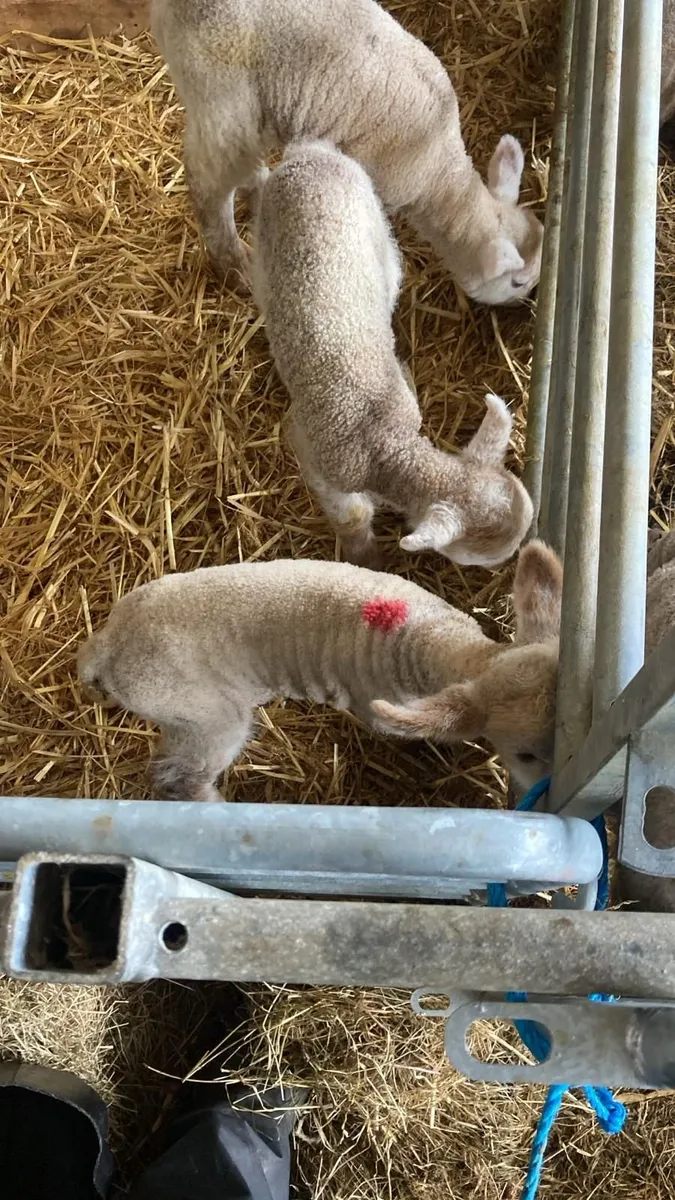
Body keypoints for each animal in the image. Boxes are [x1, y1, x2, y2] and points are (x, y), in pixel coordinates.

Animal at [77, 540, 563, 803]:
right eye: (525, 755)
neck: (426, 641)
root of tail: (108, 645)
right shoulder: (376, 706)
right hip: (200, 714)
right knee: (181, 775)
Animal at [150, 0, 543, 305]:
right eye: (517, 281)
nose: (527, 300)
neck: (439, 173)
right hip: (220, 94)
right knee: (207, 183)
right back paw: (235, 264)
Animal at [251, 141, 533, 568]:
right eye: (478, 561)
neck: (383, 445)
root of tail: (310, 154)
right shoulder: (313, 452)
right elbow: (352, 514)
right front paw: (366, 558)